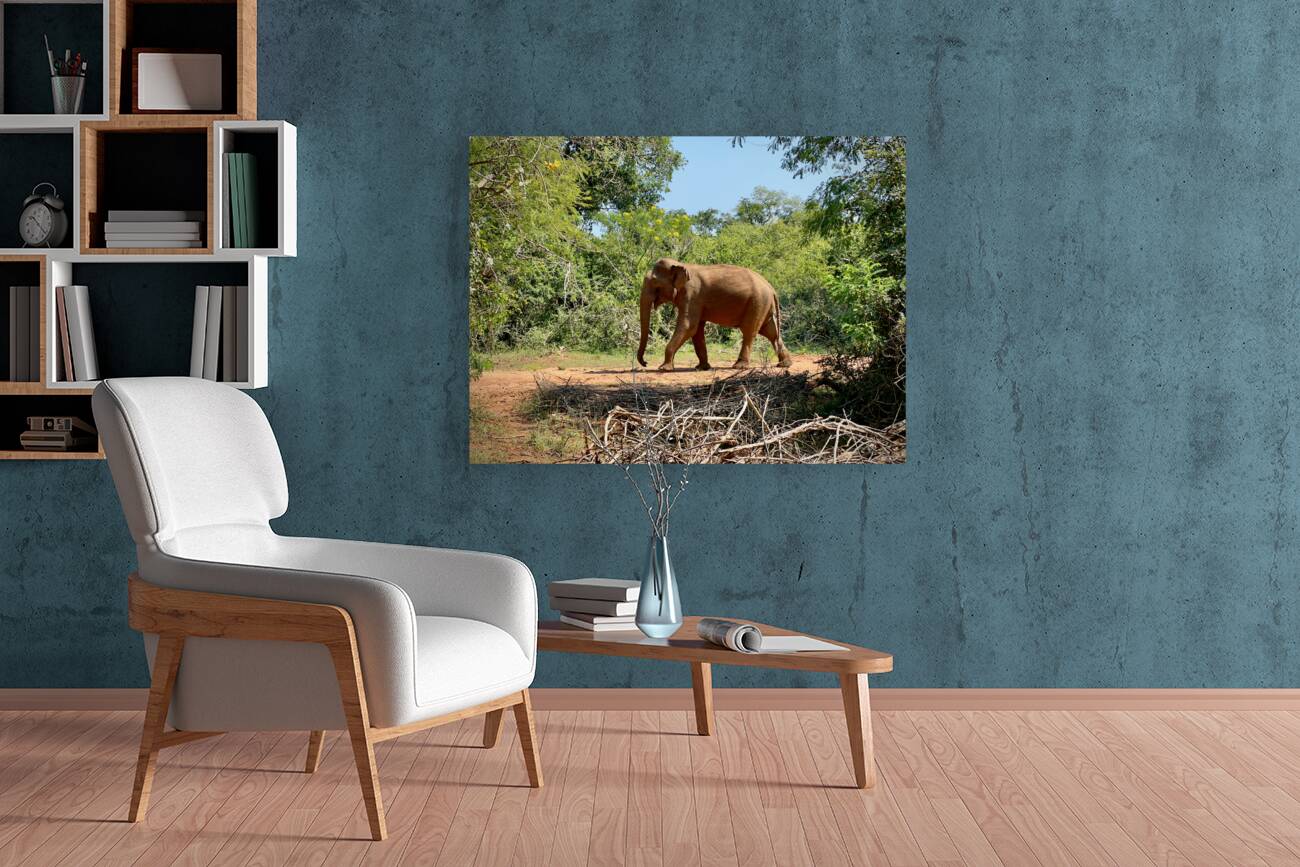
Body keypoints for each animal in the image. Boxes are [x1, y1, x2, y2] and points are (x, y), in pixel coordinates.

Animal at [636, 257, 794, 371]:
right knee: (770, 332)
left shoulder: (692, 295)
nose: (645, 363)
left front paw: (664, 368)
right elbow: (697, 330)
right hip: (763, 305)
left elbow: (688, 326)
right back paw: (785, 364)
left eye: (655, 283)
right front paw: (701, 368)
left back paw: (739, 366)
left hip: (757, 303)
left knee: (749, 331)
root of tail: (771, 288)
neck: (682, 265)